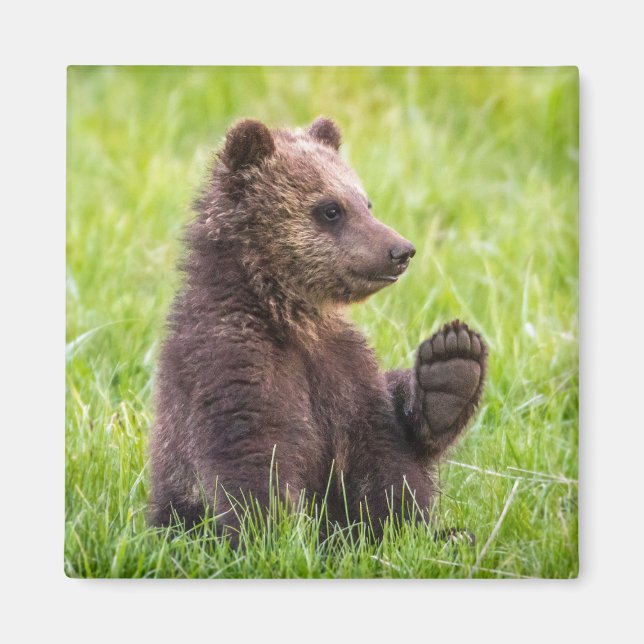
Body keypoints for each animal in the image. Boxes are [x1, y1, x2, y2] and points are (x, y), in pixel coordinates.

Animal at [149, 117, 487, 543]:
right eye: (330, 209)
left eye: (365, 202)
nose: (401, 250)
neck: (291, 317)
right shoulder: (231, 358)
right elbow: (253, 452)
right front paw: (273, 533)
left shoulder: (344, 368)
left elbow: (385, 455)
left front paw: (452, 366)